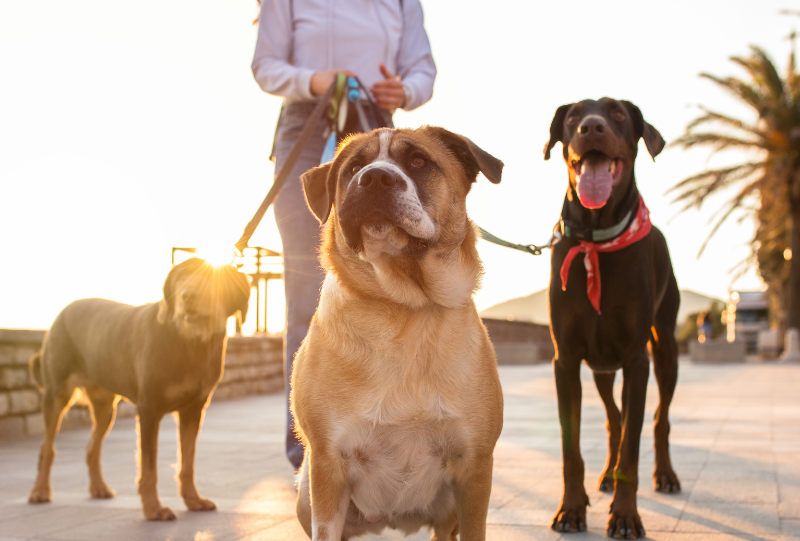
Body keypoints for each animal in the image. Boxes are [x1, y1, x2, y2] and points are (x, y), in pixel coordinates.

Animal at [28, 260, 248, 520]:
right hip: (56, 394)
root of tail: (63, 312)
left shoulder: (193, 410)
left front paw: (193, 500)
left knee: (92, 447)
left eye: (215, 278)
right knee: (47, 447)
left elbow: (187, 462)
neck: (188, 342)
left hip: (105, 408)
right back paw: (40, 491)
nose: (188, 295)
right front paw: (153, 509)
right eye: (181, 277)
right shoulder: (149, 410)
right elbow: (149, 466)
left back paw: (98, 487)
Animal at [294, 127, 506, 540]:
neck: (405, 308)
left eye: (419, 161)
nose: (375, 178)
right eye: (354, 167)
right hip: (305, 491)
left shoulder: (475, 469)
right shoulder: (327, 469)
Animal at [544, 97, 680, 536]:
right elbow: (571, 449)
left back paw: (666, 474)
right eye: (572, 117)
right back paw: (603, 475)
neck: (596, 241)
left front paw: (624, 516)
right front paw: (571, 509)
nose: (591, 127)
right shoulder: (566, 360)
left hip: (665, 349)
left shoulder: (637, 360)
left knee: (658, 420)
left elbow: (633, 450)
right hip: (602, 368)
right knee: (613, 420)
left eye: (618, 114)